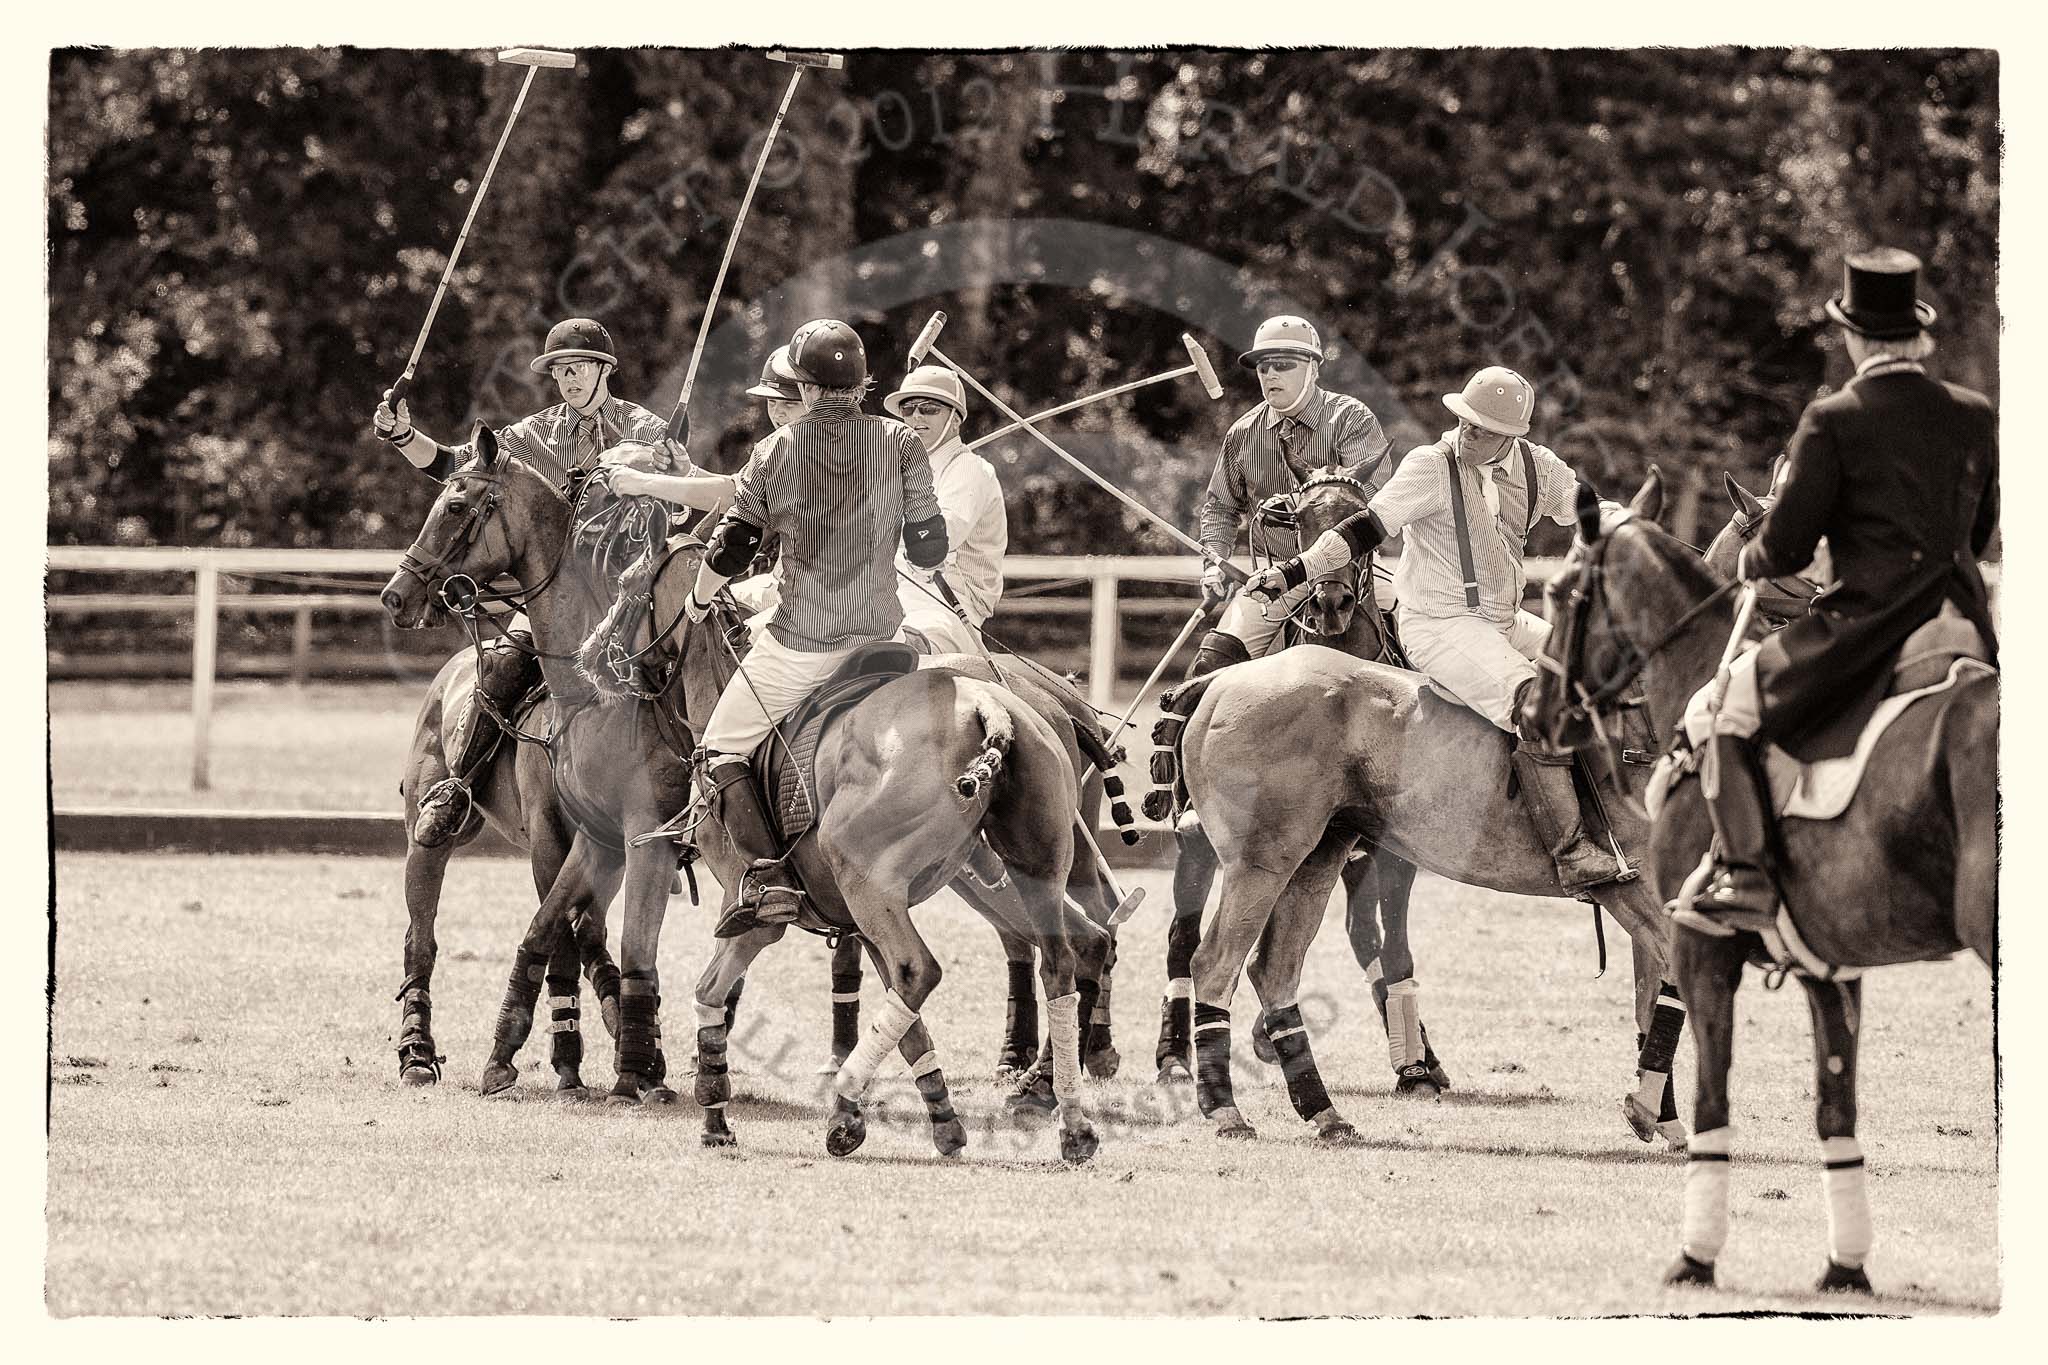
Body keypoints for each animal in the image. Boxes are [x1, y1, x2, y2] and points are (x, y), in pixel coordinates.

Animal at [1155, 478, 1679, 1146]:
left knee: (1274, 966)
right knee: (1212, 958)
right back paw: (1223, 1106)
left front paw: (1662, 1114)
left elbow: (1654, 991)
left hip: (1318, 856)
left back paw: (1322, 1109)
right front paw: (1652, 1110)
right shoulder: (1634, 884)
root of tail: (1220, 682)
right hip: (1259, 861)